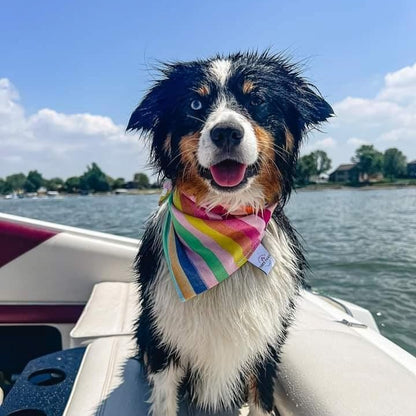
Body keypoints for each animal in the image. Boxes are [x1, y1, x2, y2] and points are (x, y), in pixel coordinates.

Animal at [128, 51, 334, 416]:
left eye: (257, 100)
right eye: (195, 103)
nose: (226, 133)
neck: (224, 219)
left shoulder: (267, 341)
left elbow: (261, 397)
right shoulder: (163, 336)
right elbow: (165, 396)